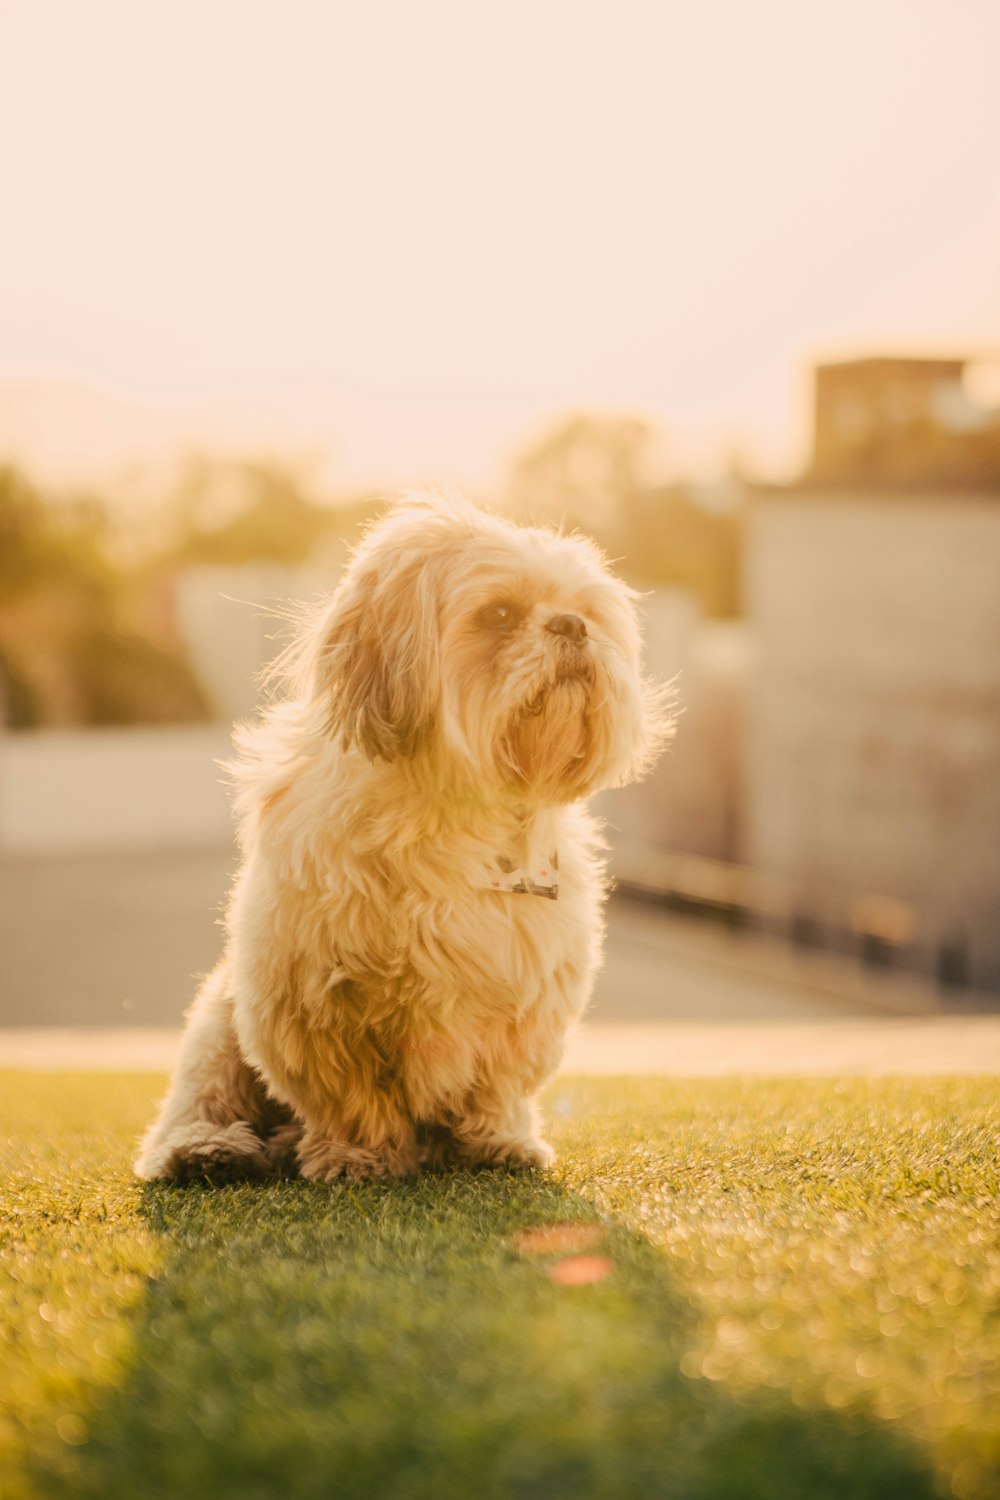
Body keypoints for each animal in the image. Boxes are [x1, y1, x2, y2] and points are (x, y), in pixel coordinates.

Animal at [134, 495, 671, 1182]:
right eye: (500, 614)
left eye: (590, 611)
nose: (572, 626)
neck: (452, 813)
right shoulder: (315, 1000)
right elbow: (353, 1094)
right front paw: (358, 1154)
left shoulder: (525, 993)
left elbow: (496, 1085)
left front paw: (495, 1140)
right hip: (218, 1024)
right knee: (200, 1097)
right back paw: (207, 1148)